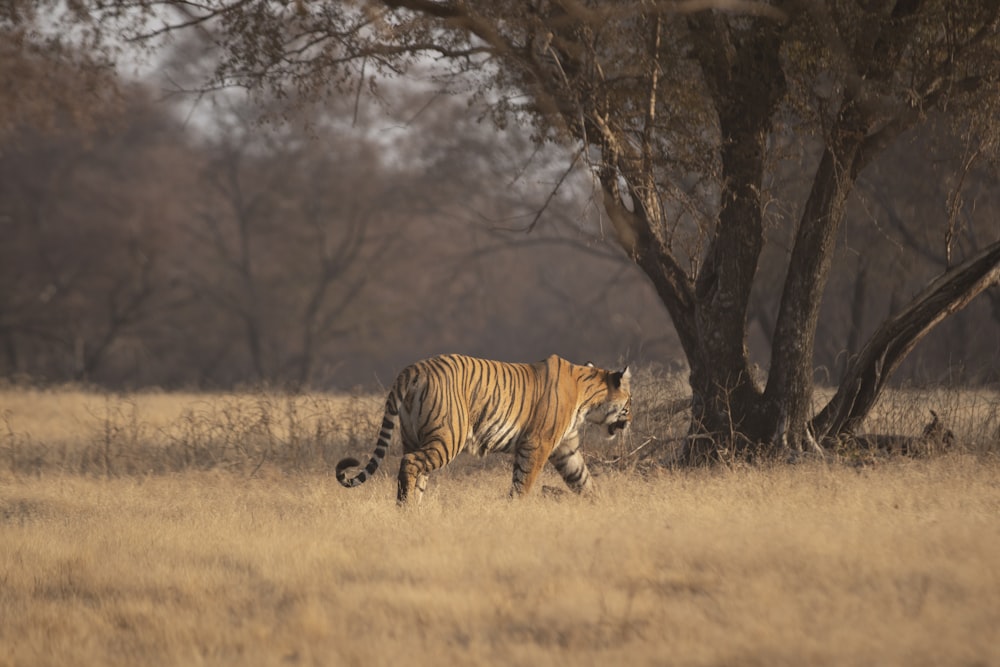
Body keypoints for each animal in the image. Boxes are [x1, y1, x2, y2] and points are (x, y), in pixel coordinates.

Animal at [336, 354, 632, 500]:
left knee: (415, 472)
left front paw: (600, 507)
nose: (629, 422)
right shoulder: (538, 443)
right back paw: (405, 509)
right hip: (447, 437)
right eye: (630, 402)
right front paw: (515, 509)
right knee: (410, 464)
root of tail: (413, 369)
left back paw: (413, 511)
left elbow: (583, 480)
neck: (587, 399)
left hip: (413, 437)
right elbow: (523, 482)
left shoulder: (566, 449)